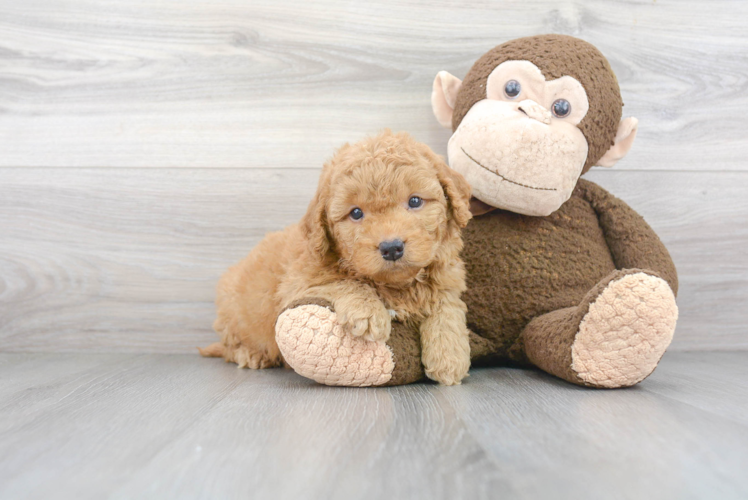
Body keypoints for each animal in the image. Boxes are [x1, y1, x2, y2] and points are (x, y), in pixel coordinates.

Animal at [203, 131, 474, 384]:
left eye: (415, 200)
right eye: (355, 213)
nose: (391, 247)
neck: (396, 286)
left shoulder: (447, 277)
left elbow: (446, 306)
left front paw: (449, 356)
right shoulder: (298, 284)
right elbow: (343, 281)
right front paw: (367, 311)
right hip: (232, 314)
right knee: (229, 347)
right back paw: (251, 355)